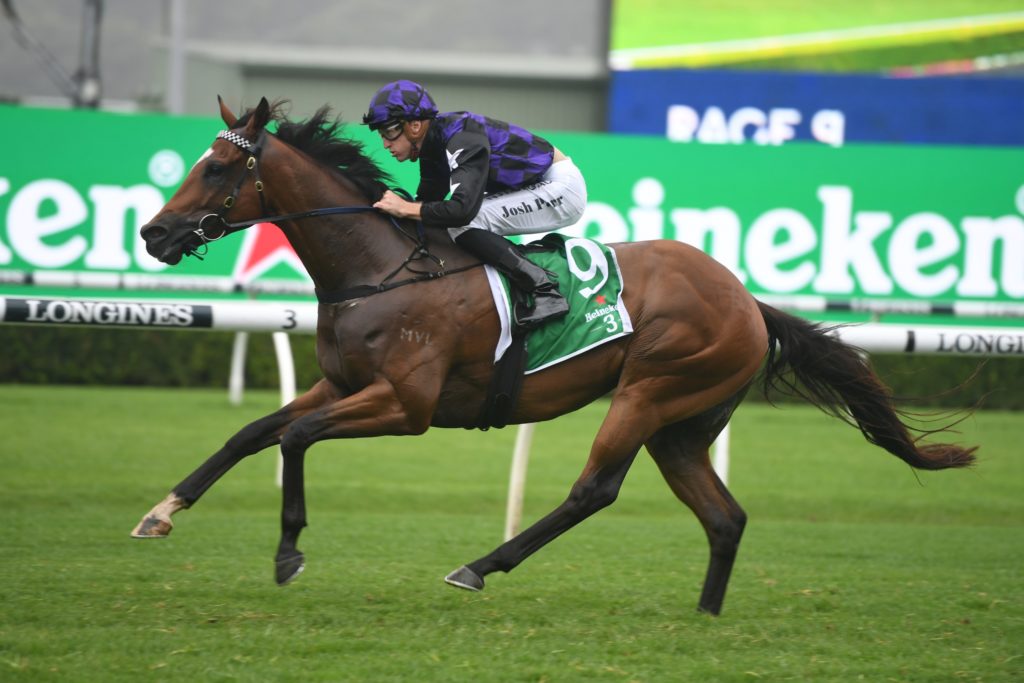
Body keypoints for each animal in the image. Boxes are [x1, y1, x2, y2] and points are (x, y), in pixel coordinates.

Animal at [133, 97, 976, 615]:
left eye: (216, 168)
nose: (153, 233)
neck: (379, 265)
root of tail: (745, 300)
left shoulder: (404, 405)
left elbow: (298, 439)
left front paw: (287, 552)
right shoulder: (339, 383)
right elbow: (253, 433)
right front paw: (160, 511)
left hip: (651, 389)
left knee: (593, 489)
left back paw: (479, 565)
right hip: (684, 426)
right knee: (725, 516)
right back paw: (705, 614)